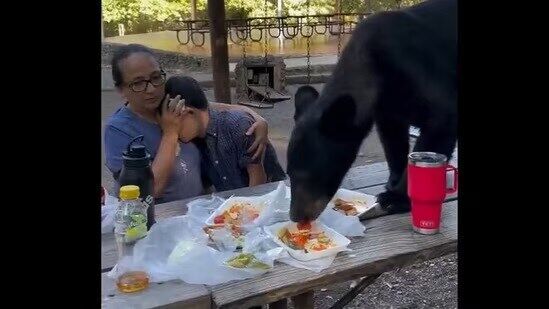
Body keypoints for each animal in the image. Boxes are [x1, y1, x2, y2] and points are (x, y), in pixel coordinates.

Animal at [284, 0, 456, 221]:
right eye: (289, 173)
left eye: (310, 175)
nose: (297, 217)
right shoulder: (389, 109)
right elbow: (393, 140)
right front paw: (393, 180)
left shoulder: (421, 73)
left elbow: (440, 123)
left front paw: (396, 198)